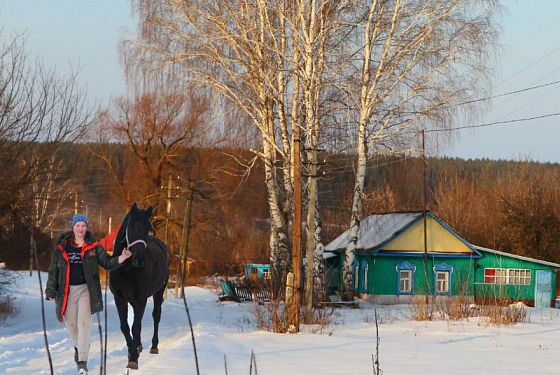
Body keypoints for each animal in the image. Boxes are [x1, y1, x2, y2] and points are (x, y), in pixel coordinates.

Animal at [110, 203, 168, 370]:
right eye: (131, 227)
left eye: (148, 229)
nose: (139, 260)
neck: (126, 269)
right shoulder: (120, 299)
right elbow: (125, 326)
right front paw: (132, 351)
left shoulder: (141, 298)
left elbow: (135, 326)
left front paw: (133, 359)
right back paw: (139, 345)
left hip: (158, 292)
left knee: (156, 316)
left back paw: (154, 346)